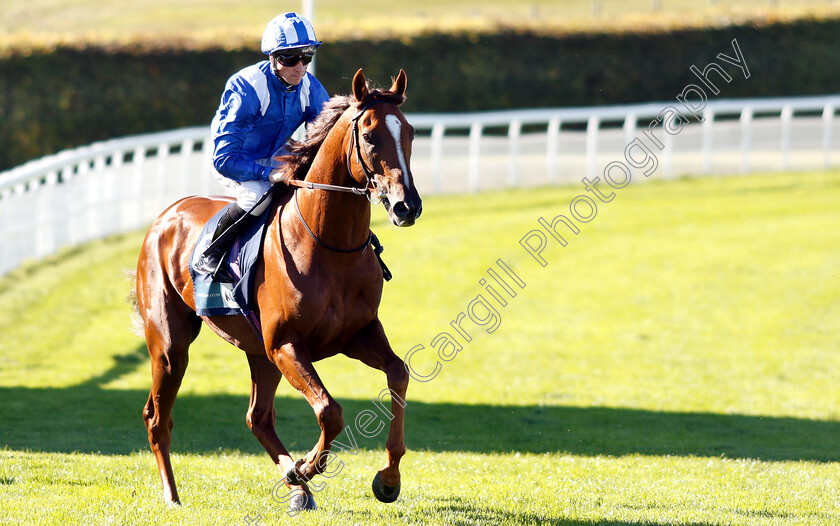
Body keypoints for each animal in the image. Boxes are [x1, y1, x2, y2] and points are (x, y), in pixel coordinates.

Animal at [135, 69, 424, 512]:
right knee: (158, 417)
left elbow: (399, 375)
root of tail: (167, 215)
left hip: (258, 354)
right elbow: (330, 410)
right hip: (171, 346)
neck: (330, 246)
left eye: (409, 132)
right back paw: (174, 496)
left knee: (258, 417)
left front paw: (388, 478)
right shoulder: (285, 344)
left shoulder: (357, 335)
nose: (406, 206)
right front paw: (307, 465)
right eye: (370, 135)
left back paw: (296, 488)